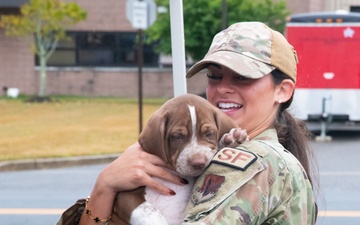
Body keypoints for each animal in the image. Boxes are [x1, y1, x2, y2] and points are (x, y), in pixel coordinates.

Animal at [109, 93, 248, 225]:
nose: (199, 163)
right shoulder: (127, 195)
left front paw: (232, 140)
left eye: (209, 134)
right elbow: (150, 213)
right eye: (177, 136)